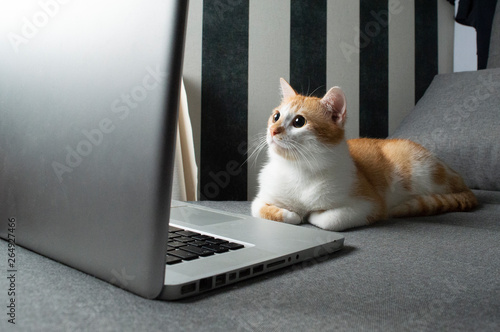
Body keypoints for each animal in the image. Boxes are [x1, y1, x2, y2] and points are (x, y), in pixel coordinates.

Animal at [252, 78, 478, 231]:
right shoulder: (261, 199)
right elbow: (262, 209)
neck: (299, 168)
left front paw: (312, 214)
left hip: (420, 170)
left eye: (299, 121)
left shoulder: (370, 204)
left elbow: (328, 219)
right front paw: (291, 213)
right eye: (276, 116)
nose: (273, 131)